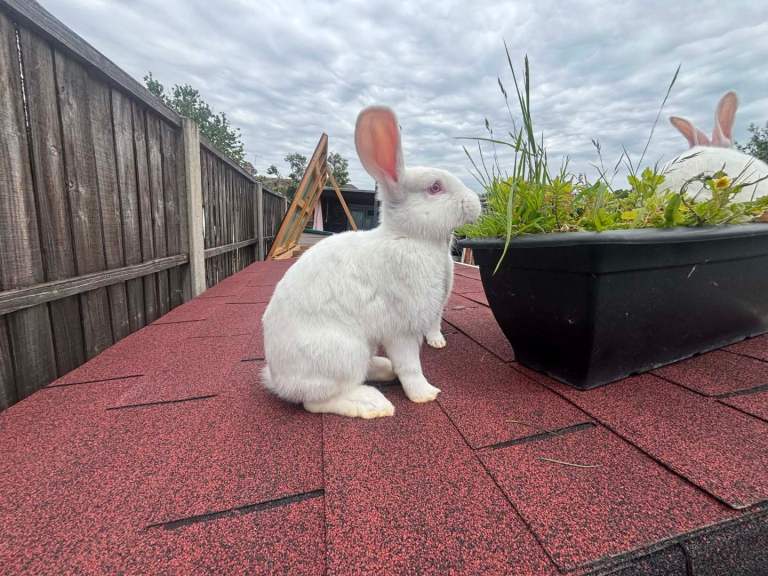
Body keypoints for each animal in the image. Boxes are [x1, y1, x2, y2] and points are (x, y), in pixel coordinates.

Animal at [261, 106, 482, 419]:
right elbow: (410, 366)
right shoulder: (401, 329)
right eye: (435, 188)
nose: (476, 203)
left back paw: (383, 369)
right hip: (343, 353)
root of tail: (280, 382)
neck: (408, 237)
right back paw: (373, 404)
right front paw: (426, 394)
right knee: (317, 402)